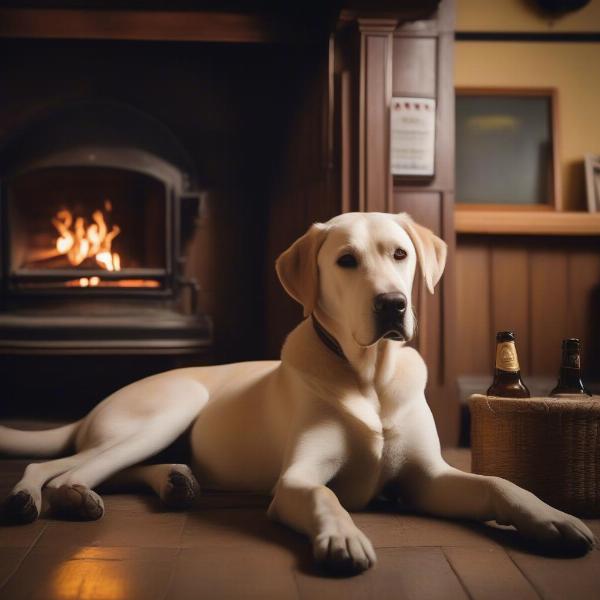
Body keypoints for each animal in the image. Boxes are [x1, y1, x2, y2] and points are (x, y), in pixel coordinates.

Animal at [1, 211, 596, 572]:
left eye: (400, 255)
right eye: (346, 261)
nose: (392, 304)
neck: (369, 378)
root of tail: (90, 412)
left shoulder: (427, 478)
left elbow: (499, 483)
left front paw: (554, 518)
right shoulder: (298, 478)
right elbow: (322, 495)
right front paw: (343, 537)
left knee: (111, 469)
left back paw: (173, 481)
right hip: (172, 407)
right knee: (59, 468)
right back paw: (46, 497)